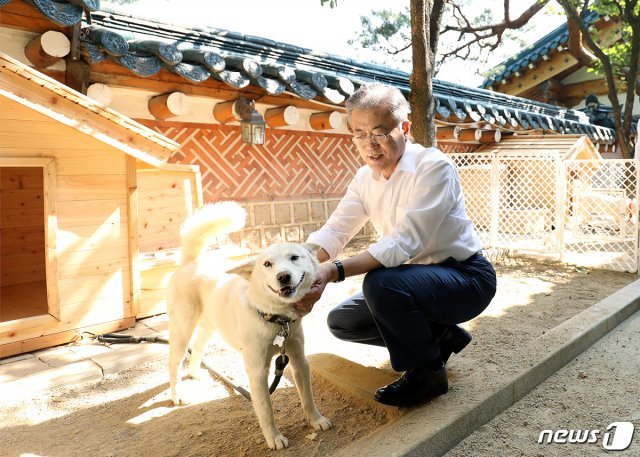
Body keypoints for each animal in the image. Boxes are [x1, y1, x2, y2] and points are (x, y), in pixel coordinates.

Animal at [168, 202, 332, 448]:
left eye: (295, 257)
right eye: (267, 264)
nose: (283, 277)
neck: (274, 319)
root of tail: (192, 262)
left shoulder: (299, 360)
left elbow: (307, 398)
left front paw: (316, 420)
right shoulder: (257, 371)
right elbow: (265, 409)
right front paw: (274, 438)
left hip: (209, 327)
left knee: (197, 348)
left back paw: (196, 373)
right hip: (182, 330)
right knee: (174, 363)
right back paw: (177, 395)